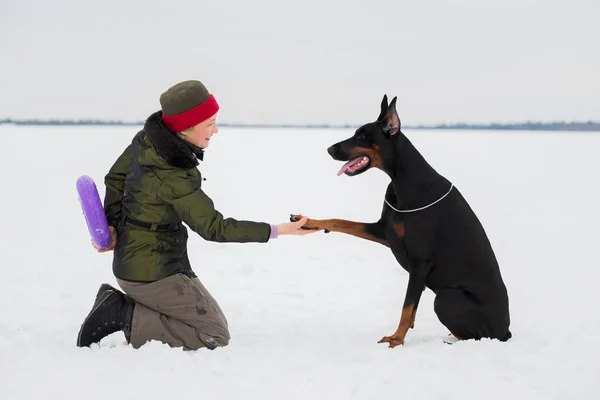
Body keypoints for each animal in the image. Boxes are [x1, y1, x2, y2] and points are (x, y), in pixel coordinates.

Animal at [290, 96, 510, 346]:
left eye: (362, 136)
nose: (329, 149)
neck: (402, 180)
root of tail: (506, 330)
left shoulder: (420, 260)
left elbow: (407, 306)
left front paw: (396, 339)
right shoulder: (385, 231)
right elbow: (341, 221)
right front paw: (307, 221)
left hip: (447, 298)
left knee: (475, 336)